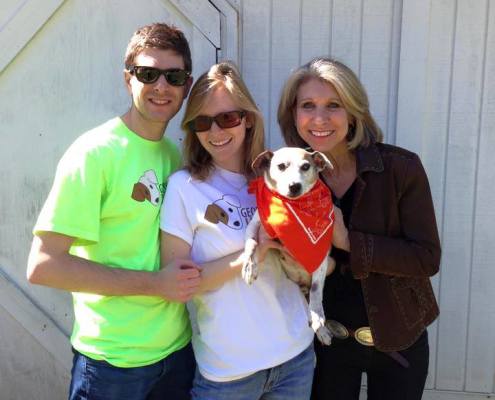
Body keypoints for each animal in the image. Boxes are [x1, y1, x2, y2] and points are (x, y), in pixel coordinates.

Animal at [241, 147, 336, 344]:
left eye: (306, 166)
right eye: (281, 166)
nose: (294, 186)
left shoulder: (322, 259)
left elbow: (317, 289)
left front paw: (317, 315)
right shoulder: (254, 225)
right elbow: (251, 244)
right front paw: (249, 267)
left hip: (331, 264)